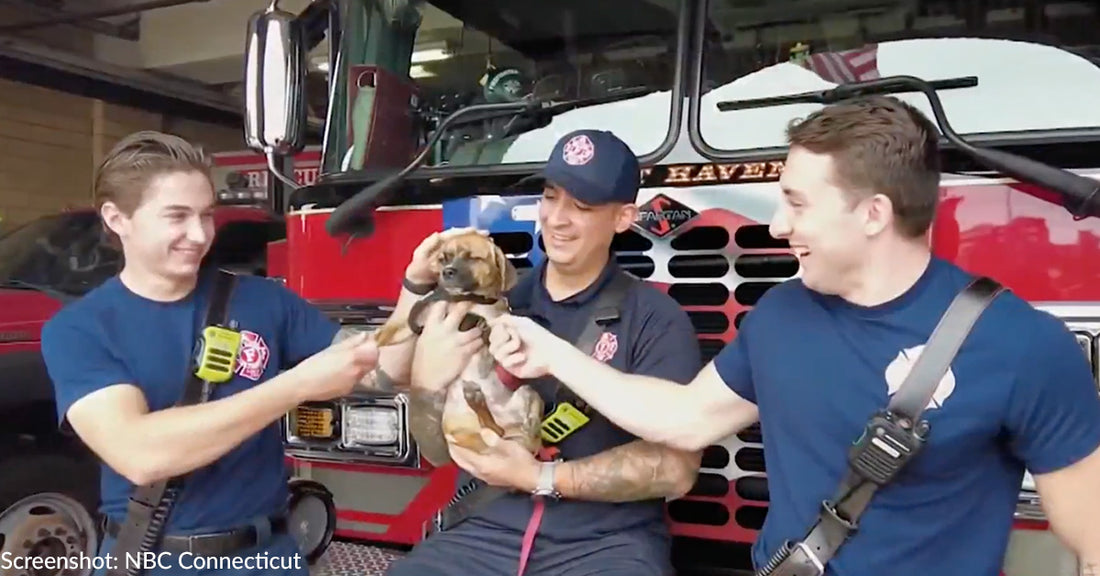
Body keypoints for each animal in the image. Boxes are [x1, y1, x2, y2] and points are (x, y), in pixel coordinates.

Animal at [376, 231, 543, 457]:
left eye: (473, 258)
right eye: (443, 258)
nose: (447, 271)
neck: (468, 300)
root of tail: (510, 427)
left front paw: (483, 326)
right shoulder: (415, 321)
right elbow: (391, 331)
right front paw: (370, 340)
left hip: (527, 393)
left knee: (506, 429)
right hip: (462, 430)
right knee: (492, 429)